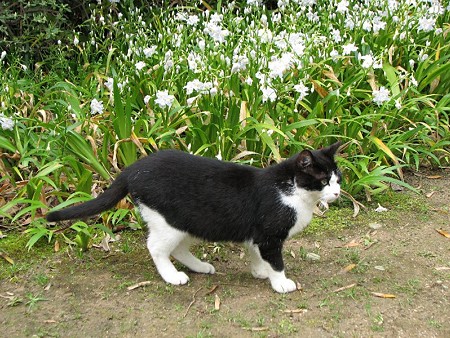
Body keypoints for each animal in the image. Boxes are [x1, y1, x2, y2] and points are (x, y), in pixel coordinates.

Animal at [46, 143, 342, 294]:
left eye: (337, 178)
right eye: (323, 181)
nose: (338, 192)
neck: (291, 190)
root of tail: (133, 168)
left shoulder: (257, 235)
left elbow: (256, 253)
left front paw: (260, 271)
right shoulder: (269, 236)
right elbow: (276, 261)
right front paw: (280, 282)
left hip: (190, 222)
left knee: (177, 249)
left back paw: (200, 267)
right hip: (169, 221)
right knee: (156, 247)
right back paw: (172, 276)